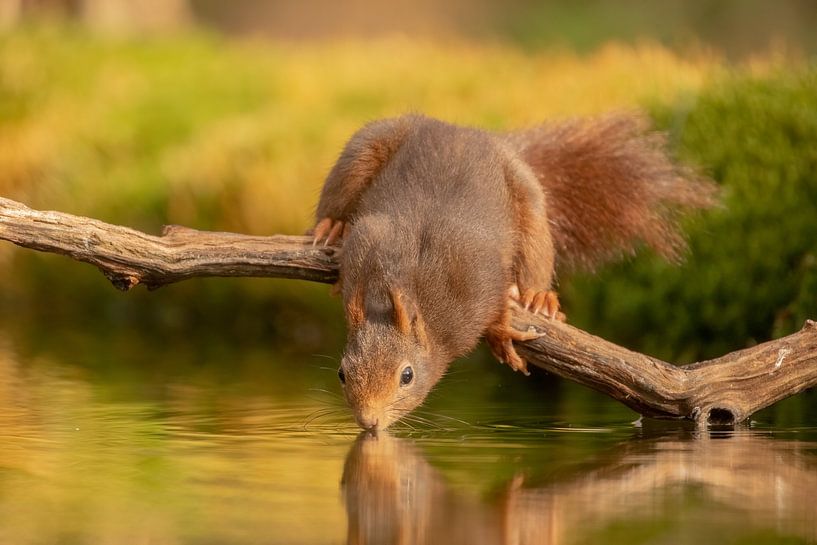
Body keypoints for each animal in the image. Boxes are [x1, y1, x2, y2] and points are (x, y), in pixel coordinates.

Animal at [311, 113, 716, 431]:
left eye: (406, 376)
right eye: (342, 373)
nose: (369, 422)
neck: (395, 287)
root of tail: (465, 131)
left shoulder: (478, 275)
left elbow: (495, 299)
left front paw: (502, 329)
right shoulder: (366, 243)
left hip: (528, 196)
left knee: (535, 248)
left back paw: (538, 296)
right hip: (365, 149)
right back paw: (331, 225)